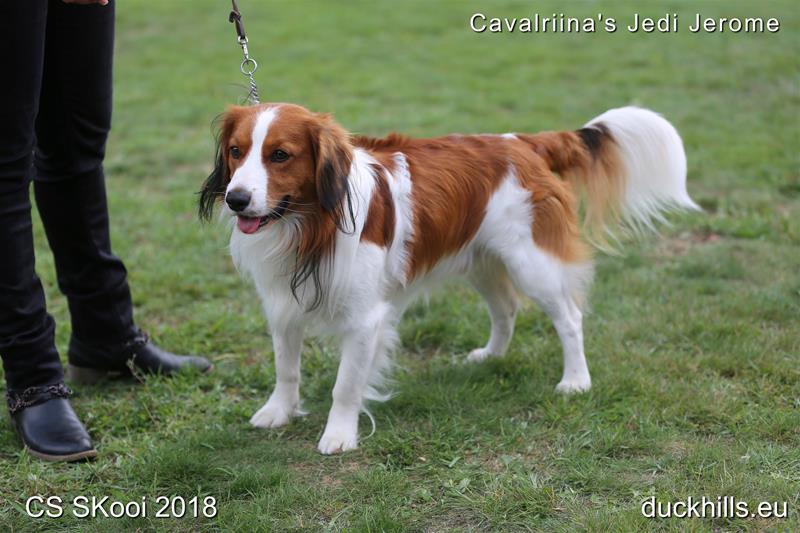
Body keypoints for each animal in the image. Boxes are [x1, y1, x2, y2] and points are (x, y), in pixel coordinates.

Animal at [199, 103, 698, 454]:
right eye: (236, 151)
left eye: (280, 155)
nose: (236, 199)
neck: (310, 224)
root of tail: (523, 142)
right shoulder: (283, 307)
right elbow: (286, 369)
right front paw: (278, 412)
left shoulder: (365, 319)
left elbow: (346, 385)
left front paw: (339, 435)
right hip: (481, 260)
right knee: (506, 308)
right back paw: (490, 356)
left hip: (531, 262)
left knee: (569, 318)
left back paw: (576, 380)